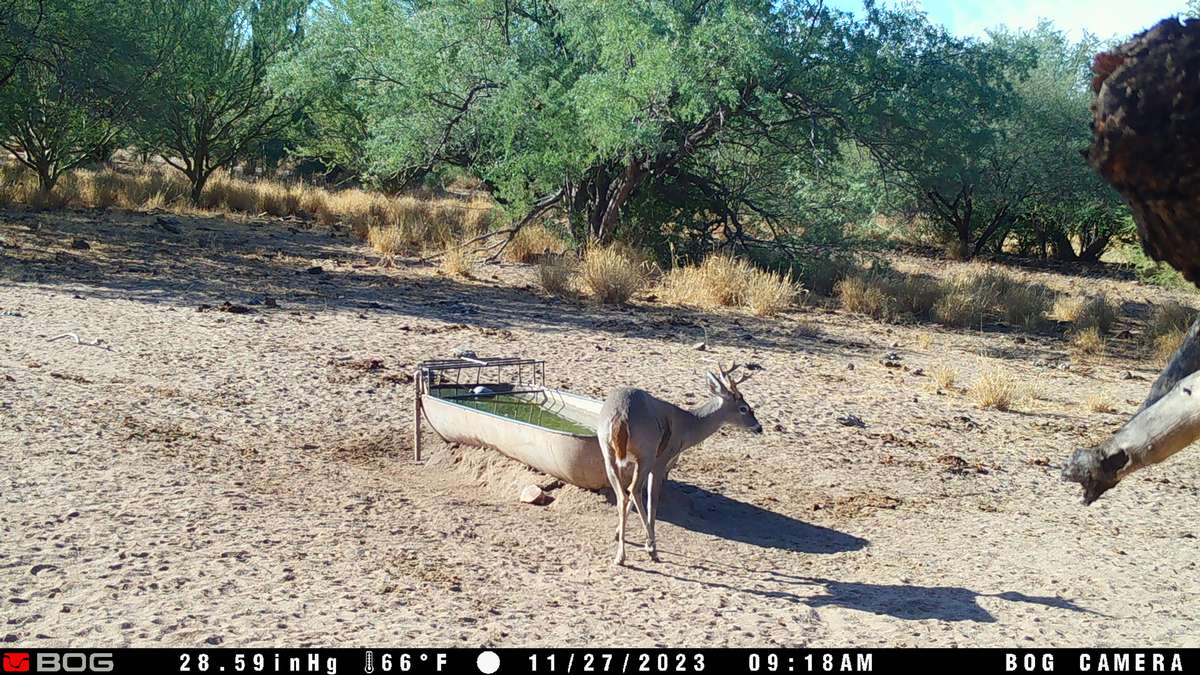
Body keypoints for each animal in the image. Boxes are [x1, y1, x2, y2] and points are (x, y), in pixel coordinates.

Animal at [596, 362, 762, 566]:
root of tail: (621, 414)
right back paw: (651, 549)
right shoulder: (661, 461)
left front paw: (618, 533)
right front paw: (647, 545)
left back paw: (620, 555)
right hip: (647, 452)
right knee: (634, 491)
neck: (687, 425)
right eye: (744, 408)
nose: (759, 427)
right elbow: (652, 500)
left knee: (623, 494)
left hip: (607, 450)